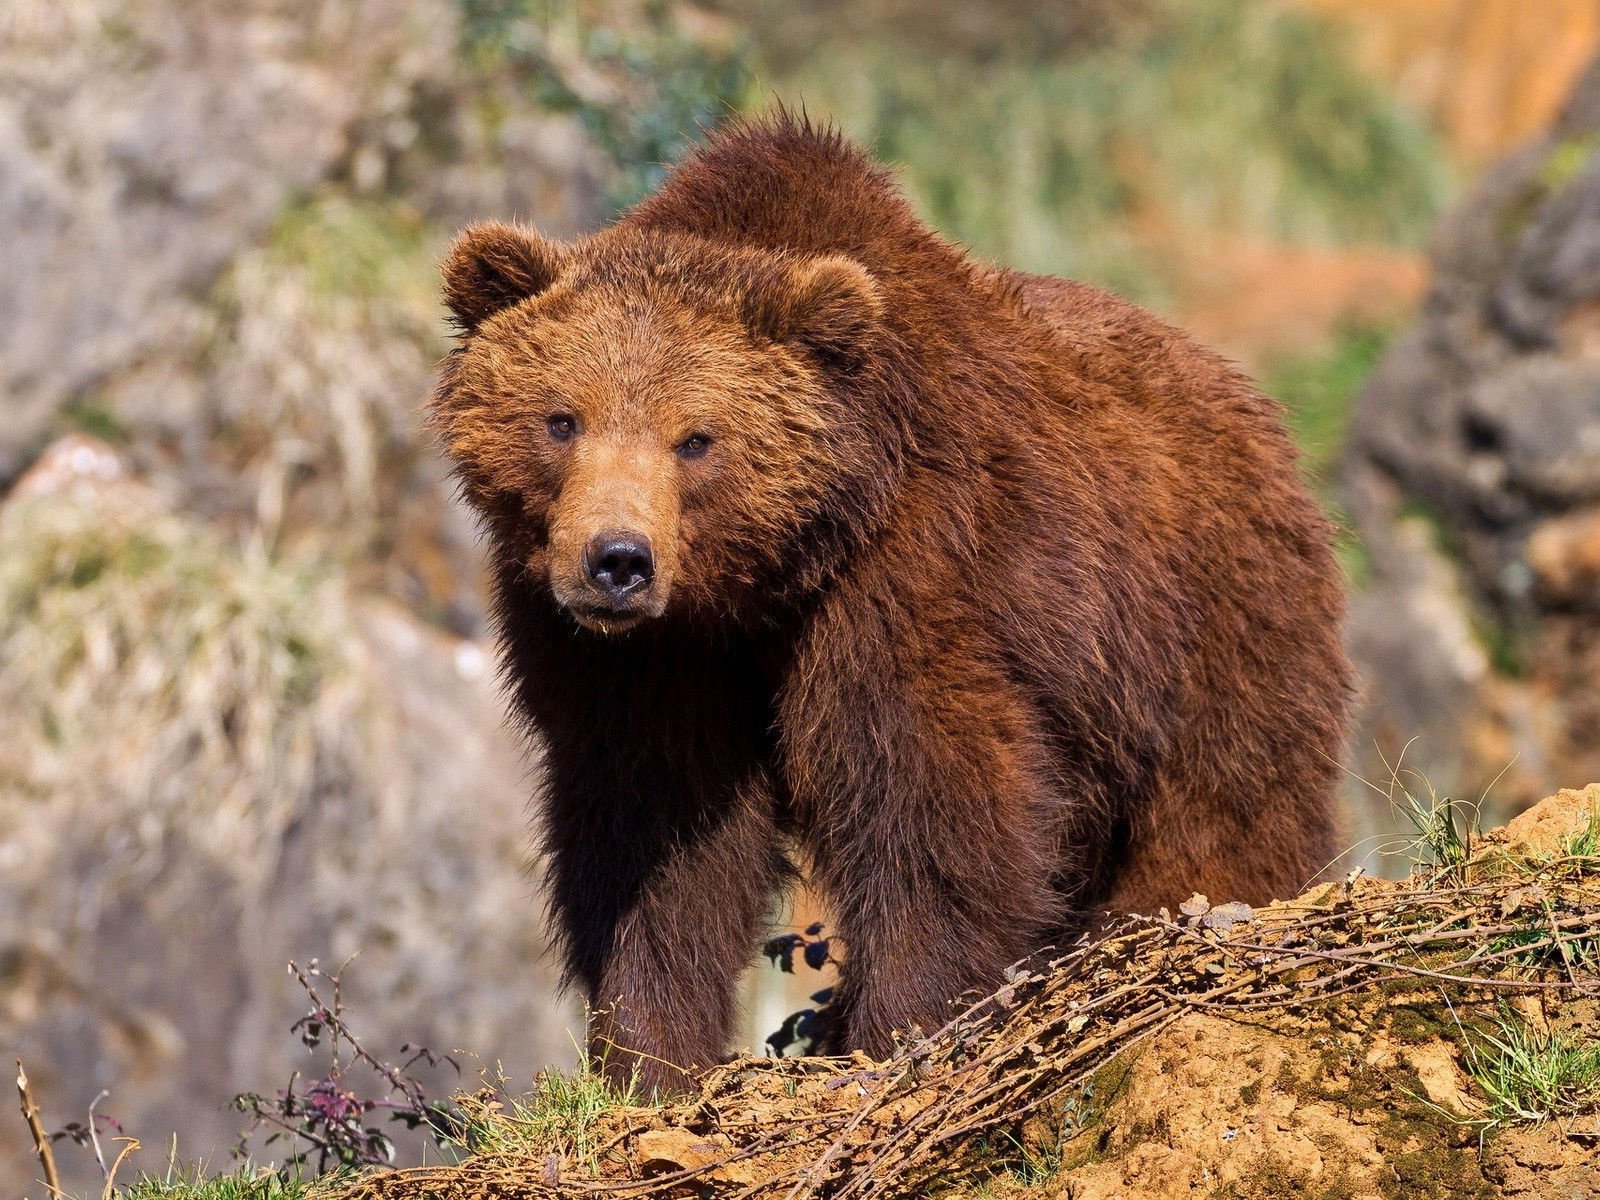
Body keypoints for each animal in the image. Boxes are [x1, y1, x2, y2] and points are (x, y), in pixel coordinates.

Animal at [428, 108, 1350, 1094]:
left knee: (1226, 796)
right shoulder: (641, 659)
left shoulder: (914, 571)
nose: (617, 562)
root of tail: (1253, 404)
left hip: (1207, 615)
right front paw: (648, 1056)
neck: (762, 583)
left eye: (697, 439)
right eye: (562, 419)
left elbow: (929, 801)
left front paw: (898, 1028)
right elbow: (655, 835)